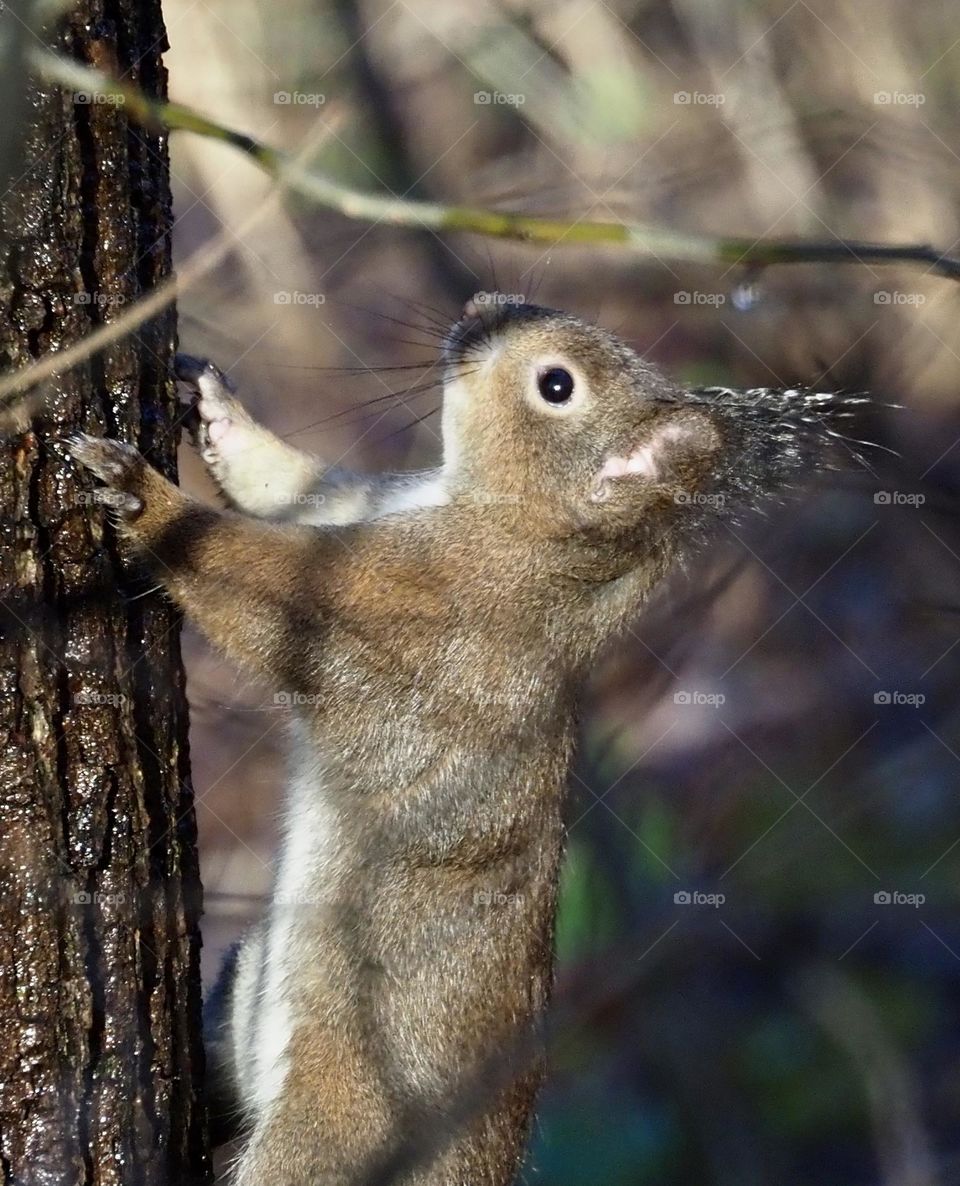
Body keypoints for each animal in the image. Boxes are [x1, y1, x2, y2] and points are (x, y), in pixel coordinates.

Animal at [68, 295, 866, 1186]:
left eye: (556, 385)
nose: (484, 309)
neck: (521, 531)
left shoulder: (403, 602)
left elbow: (258, 578)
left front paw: (143, 497)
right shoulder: (364, 511)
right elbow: (293, 486)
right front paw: (216, 406)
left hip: (335, 1124)